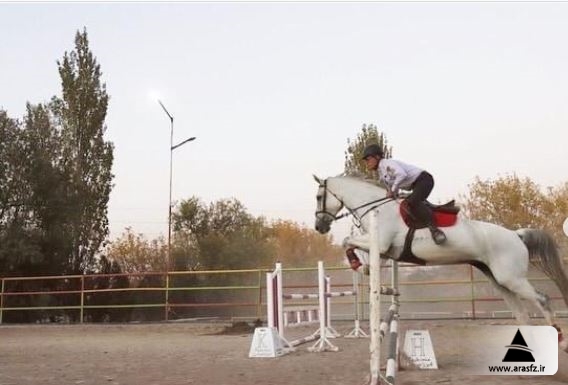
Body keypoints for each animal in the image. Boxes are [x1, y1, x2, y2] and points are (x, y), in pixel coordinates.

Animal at [312, 174, 568, 348]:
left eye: (318, 197)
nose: (319, 227)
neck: (376, 208)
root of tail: (517, 235)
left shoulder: (381, 244)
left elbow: (346, 240)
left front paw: (355, 262)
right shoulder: (385, 253)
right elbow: (359, 254)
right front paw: (361, 266)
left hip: (511, 278)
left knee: (542, 300)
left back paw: (560, 341)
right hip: (499, 281)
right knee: (521, 313)